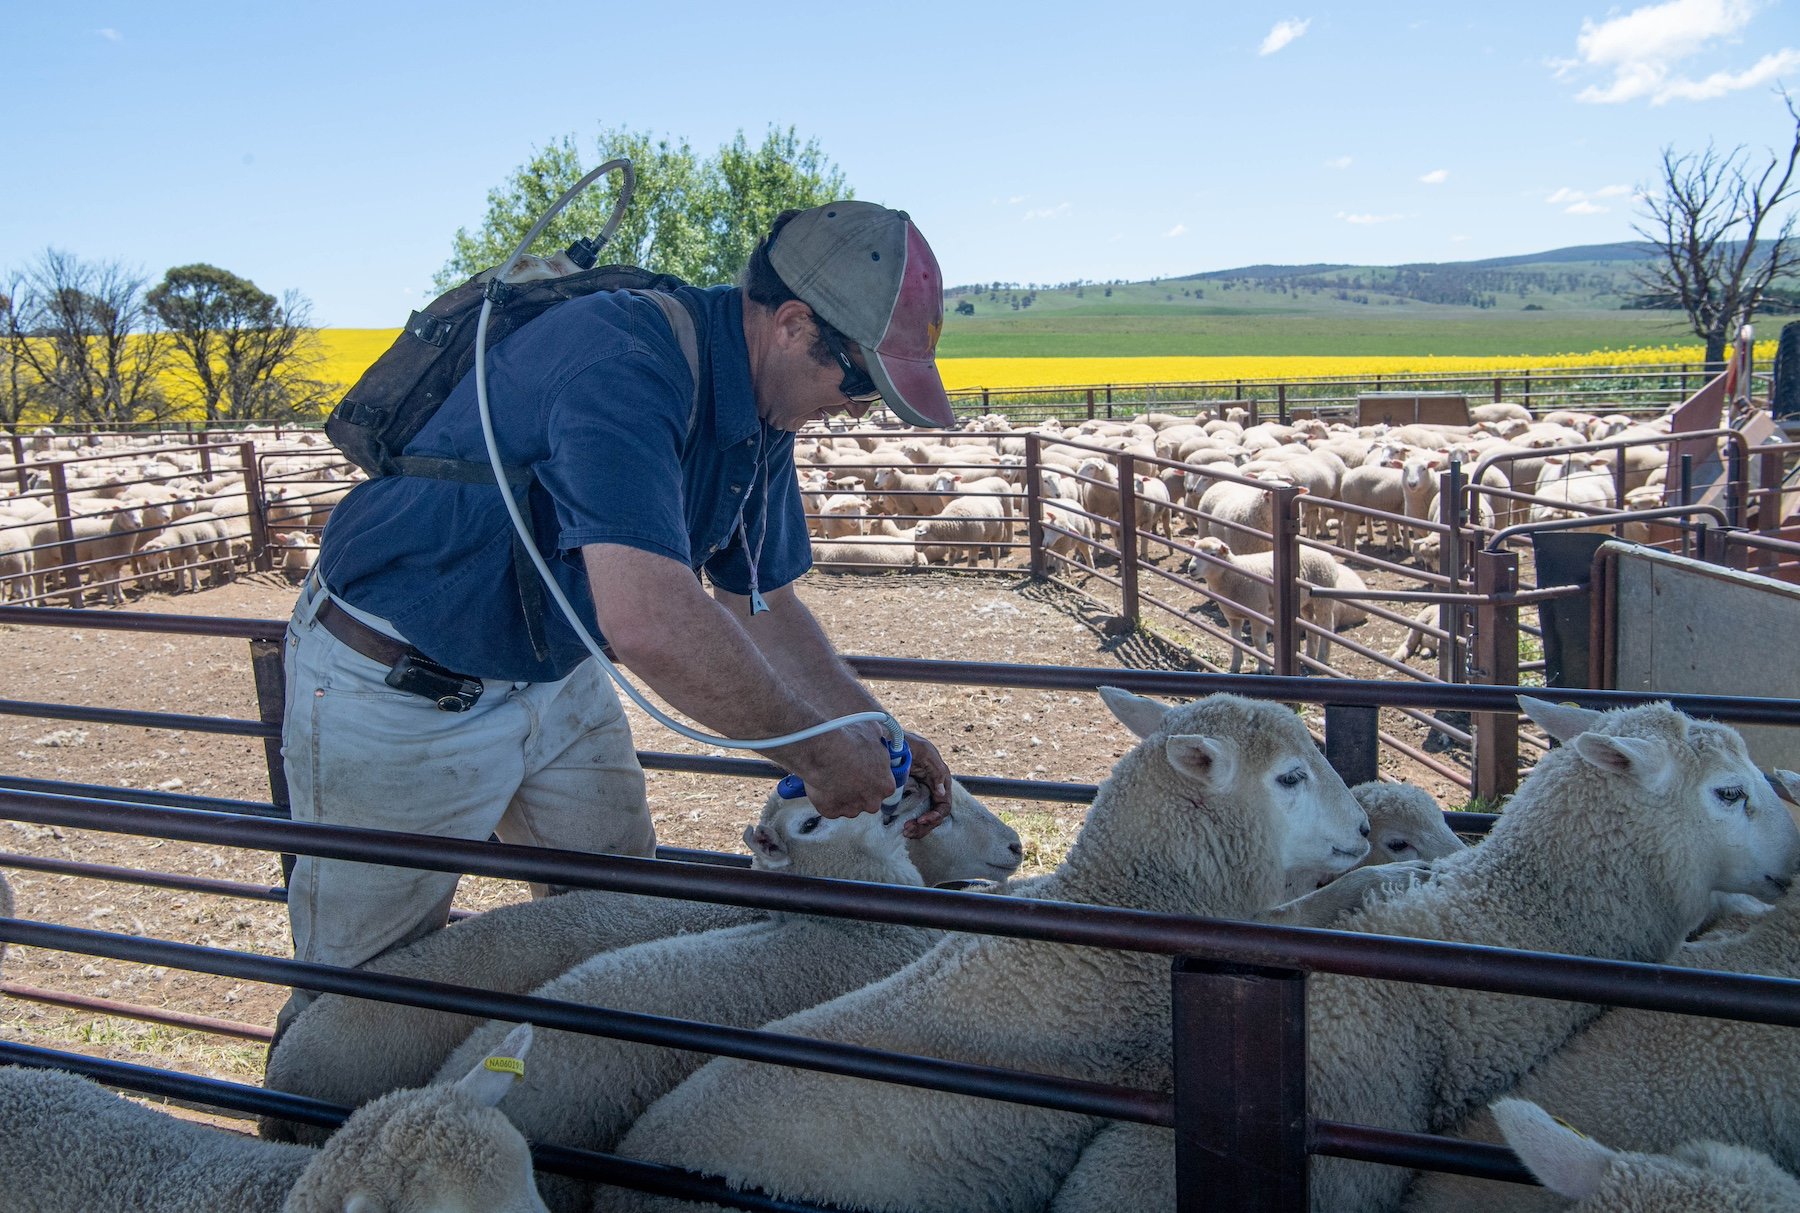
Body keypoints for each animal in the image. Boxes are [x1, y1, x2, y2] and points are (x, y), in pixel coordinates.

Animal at [606, 689, 1399, 1213]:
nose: (1363, 829)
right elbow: (1313, 912)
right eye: (1289, 777)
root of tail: (628, 1176)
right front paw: (1389, 876)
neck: (1115, 916)